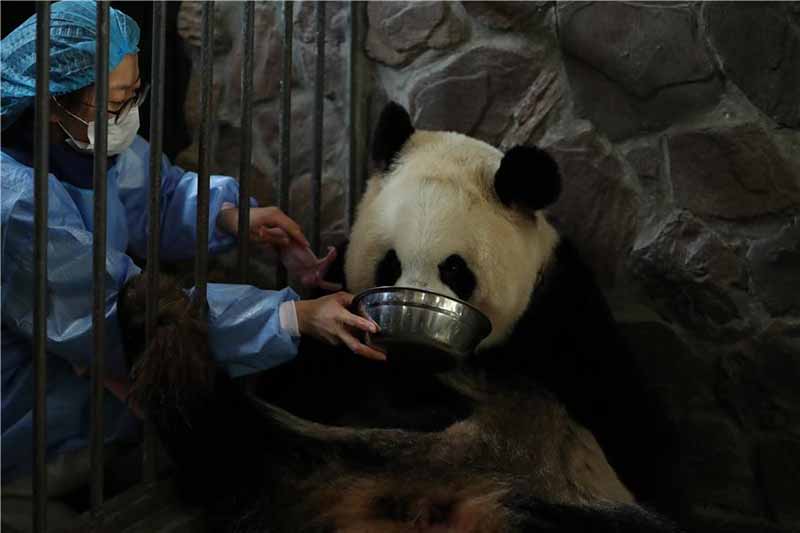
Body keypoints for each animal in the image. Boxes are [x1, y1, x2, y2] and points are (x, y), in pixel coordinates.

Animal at [120, 102, 679, 532]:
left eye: (455, 270)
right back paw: (161, 318)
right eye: (389, 263)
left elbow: (629, 429)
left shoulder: (559, 313)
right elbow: (304, 379)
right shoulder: (342, 297)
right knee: (236, 450)